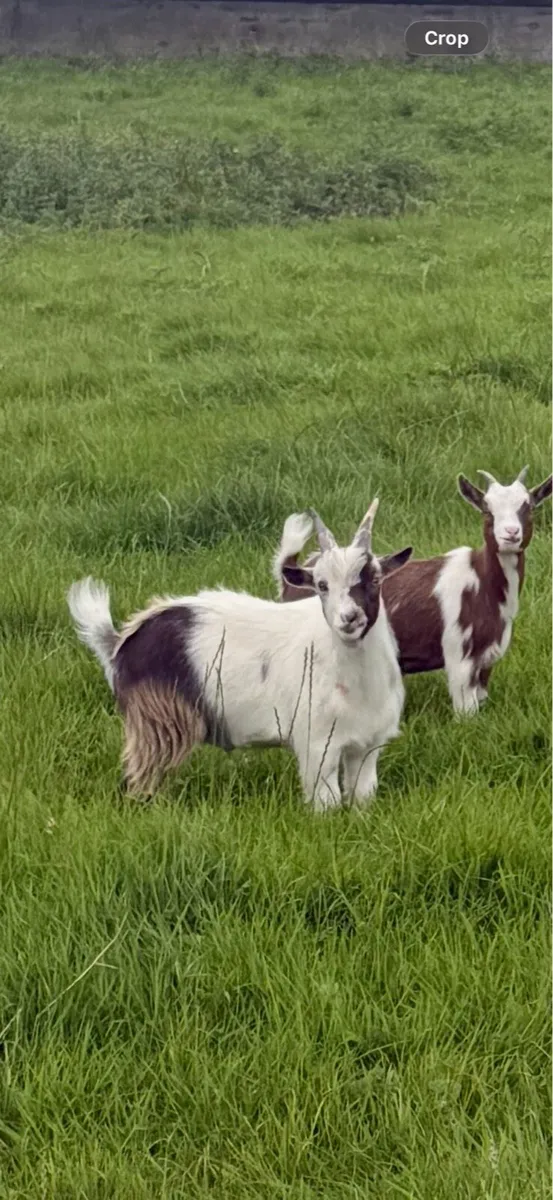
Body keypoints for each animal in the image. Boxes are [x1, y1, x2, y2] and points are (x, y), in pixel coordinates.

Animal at [67, 504, 412, 811]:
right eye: (321, 585)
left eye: (375, 579)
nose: (349, 618)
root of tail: (120, 641)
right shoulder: (317, 744)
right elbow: (326, 802)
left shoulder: (368, 745)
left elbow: (362, 796)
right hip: (155, 721)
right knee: (140, 778)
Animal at [273, 467, 552, 716]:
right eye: (487, 511)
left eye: (528, 508)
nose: (510, 534)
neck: (482, 583)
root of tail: (293, 576)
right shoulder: (459, 658)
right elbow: (467, 714)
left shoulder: (486, 659)